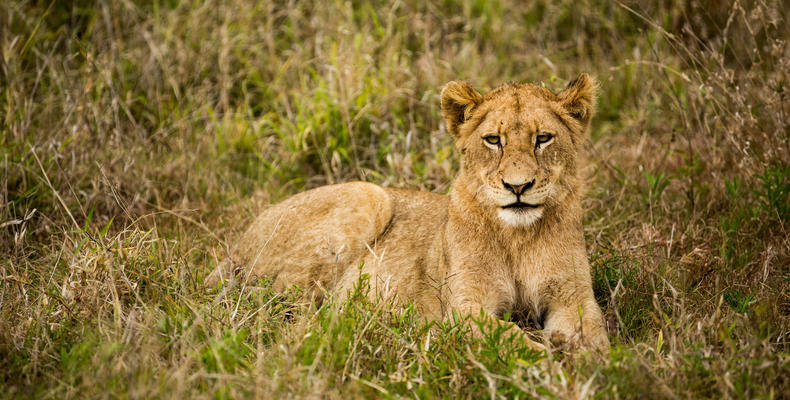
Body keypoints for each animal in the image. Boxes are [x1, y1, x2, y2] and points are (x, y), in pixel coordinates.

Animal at [207, 73, 608, 352]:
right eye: (494, 140)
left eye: (543, 139)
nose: (518, 187)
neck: (517, 237)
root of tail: (238, 243)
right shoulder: (465, 306)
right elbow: (511, 339)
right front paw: (553, 362)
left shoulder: (573, 296)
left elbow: (597, 334)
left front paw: (591, 362)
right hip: (368, 196)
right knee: (283, 307)